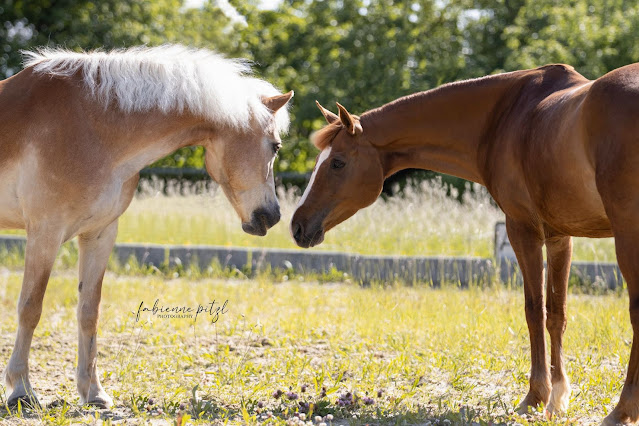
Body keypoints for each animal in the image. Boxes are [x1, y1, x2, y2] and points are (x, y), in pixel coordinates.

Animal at [0, 45, 294, 410]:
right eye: (275, 145)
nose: (272, 215)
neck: (90, 124)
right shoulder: (45, 233)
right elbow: (30, 308)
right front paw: (22, 390)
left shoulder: (99, 234)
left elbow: (89, 311)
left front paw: (93, 392)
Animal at [292, 64, 639, 426]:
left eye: (338, 162)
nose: (297, 225)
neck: (504, 117)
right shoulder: (559, 237)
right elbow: (556, 313)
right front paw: (557, 399)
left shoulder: (523, 229)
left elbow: (533, 310)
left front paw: (534, 397)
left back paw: (623, 410)